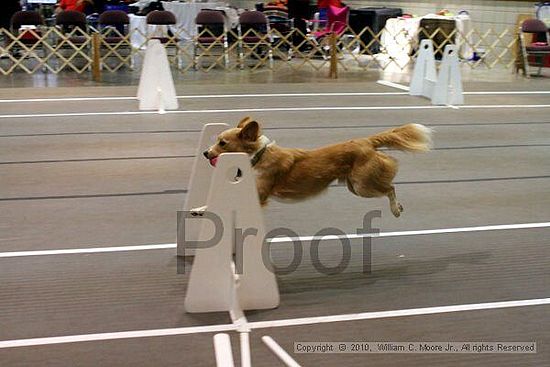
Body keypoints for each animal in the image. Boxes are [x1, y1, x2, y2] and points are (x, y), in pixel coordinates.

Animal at [205, 118, 434, 217]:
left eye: (222, 143)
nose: (205, 153)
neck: (258, 156)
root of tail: (366, 141)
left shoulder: (259, 193)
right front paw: (200, 210)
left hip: (362, 185)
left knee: (390, 188)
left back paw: (396, 209)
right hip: (355, 186)